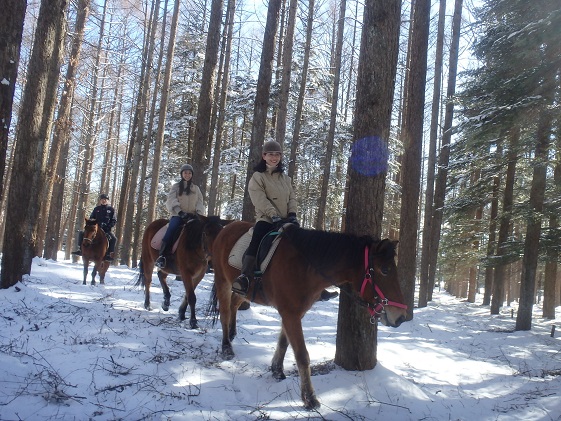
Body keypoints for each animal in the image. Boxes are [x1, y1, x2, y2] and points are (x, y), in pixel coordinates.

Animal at [210, 221, 406, 408]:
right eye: (385, 270)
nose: (401, 317)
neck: (305, 266)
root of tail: (226, 227)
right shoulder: (290, 314)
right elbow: (302, 355)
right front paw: (309, 398)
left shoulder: (295, 313)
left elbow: (284, 342)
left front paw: (277, 370)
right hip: (222, 281)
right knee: (225, 312)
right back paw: (227, 347)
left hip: (242, 291)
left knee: (234, 304)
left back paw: (233, 333)